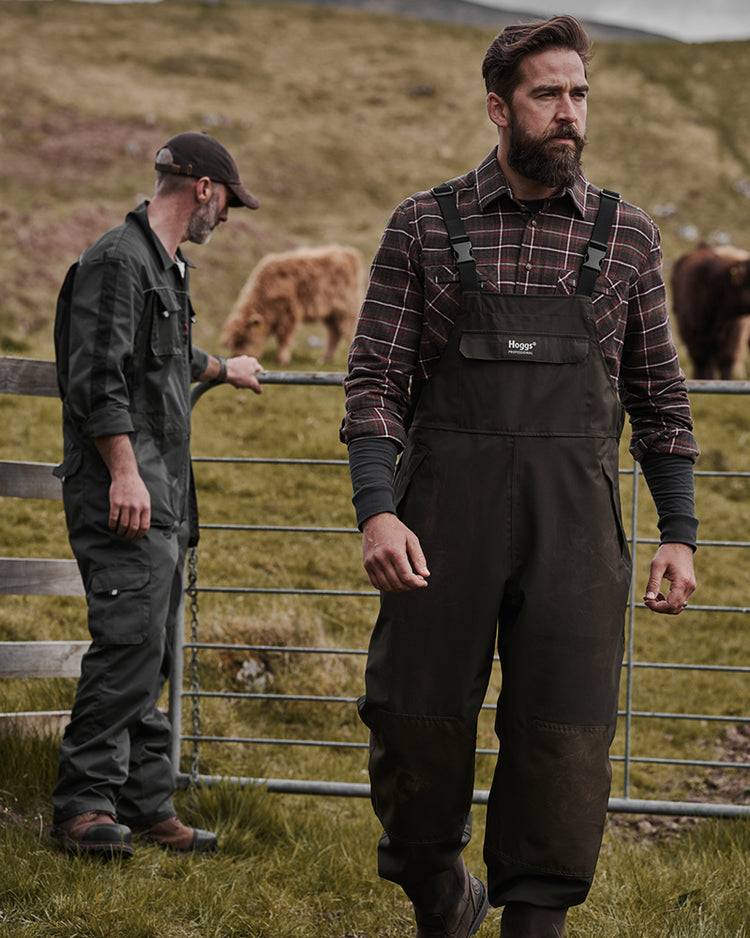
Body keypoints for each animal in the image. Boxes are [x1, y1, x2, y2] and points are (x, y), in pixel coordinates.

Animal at [220, 243, 368, 364]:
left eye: (245, 340)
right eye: (234, 345)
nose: (239, 357)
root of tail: (350, 253)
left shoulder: (288, 313)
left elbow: (283, 337)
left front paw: (281, 359)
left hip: (347, 307)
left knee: (350, 328)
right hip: (331, 312)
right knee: (334, 332)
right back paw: (326, 358)